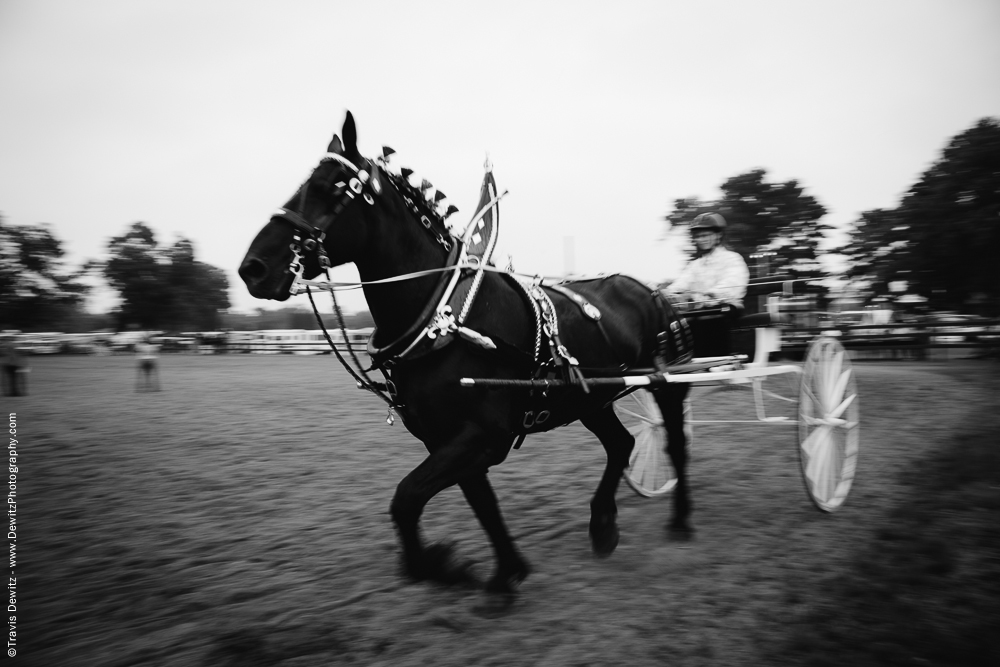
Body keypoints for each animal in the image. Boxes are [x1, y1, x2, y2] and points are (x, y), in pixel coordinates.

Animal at [238, 111, 692, 596]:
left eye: (330, 186)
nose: (253, 268)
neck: (445, 318)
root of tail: (651, 290)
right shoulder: (446, 439)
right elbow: (481, 505)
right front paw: (505, 573)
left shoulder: (482, 437)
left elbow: (407, 498)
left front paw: (439, 566)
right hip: (591, 397)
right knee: (621, 443)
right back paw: (603, 524)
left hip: (666, 385)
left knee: (674, 444)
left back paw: (680, 521)